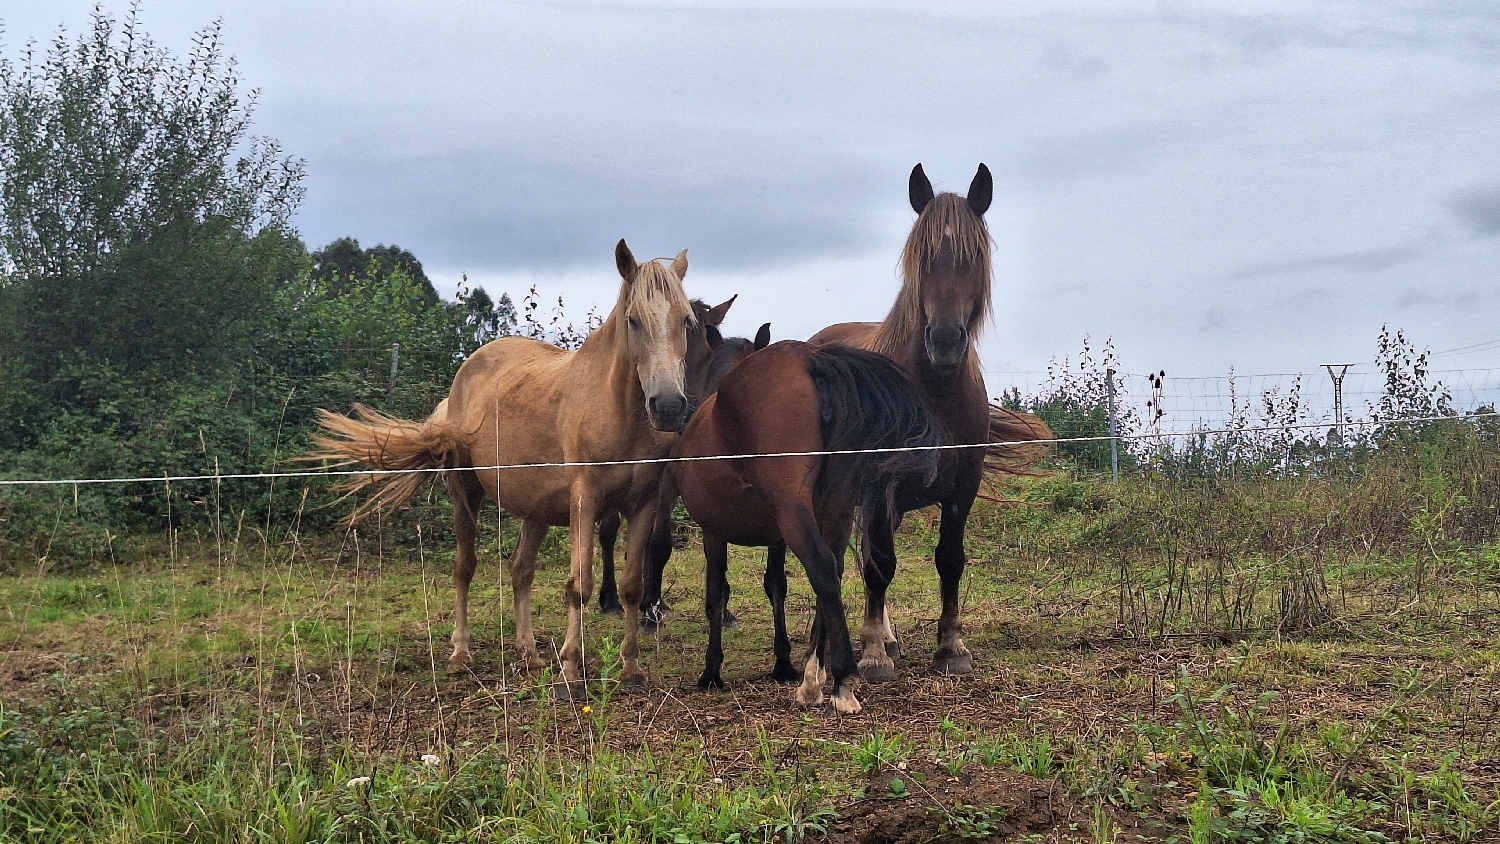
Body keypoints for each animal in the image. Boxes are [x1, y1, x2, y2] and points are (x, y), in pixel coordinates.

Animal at [309, 239, 702, 701]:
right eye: (633, 320)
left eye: (686, 321)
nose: (669, 406)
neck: (616, 409)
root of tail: (465, 373)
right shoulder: (585, 502)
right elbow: (580, 585)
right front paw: (571, 674)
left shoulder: (641, 505)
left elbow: (632, 588)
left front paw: (631, 670)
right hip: (464, 492)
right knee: (465, 567)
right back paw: (461, 654)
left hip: (536, 510)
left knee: (520, 570)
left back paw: (529, 655)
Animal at [678, 341, 936, 713]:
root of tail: (810, 359)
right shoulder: (776, 538)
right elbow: (775, 586)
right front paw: (784, 666)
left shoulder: (713, 533)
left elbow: (716, 594)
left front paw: (711, 672)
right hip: (837, 505)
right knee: (833, 572)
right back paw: (812, 681)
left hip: (794, 508)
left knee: (822, 567)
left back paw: (842, 682)